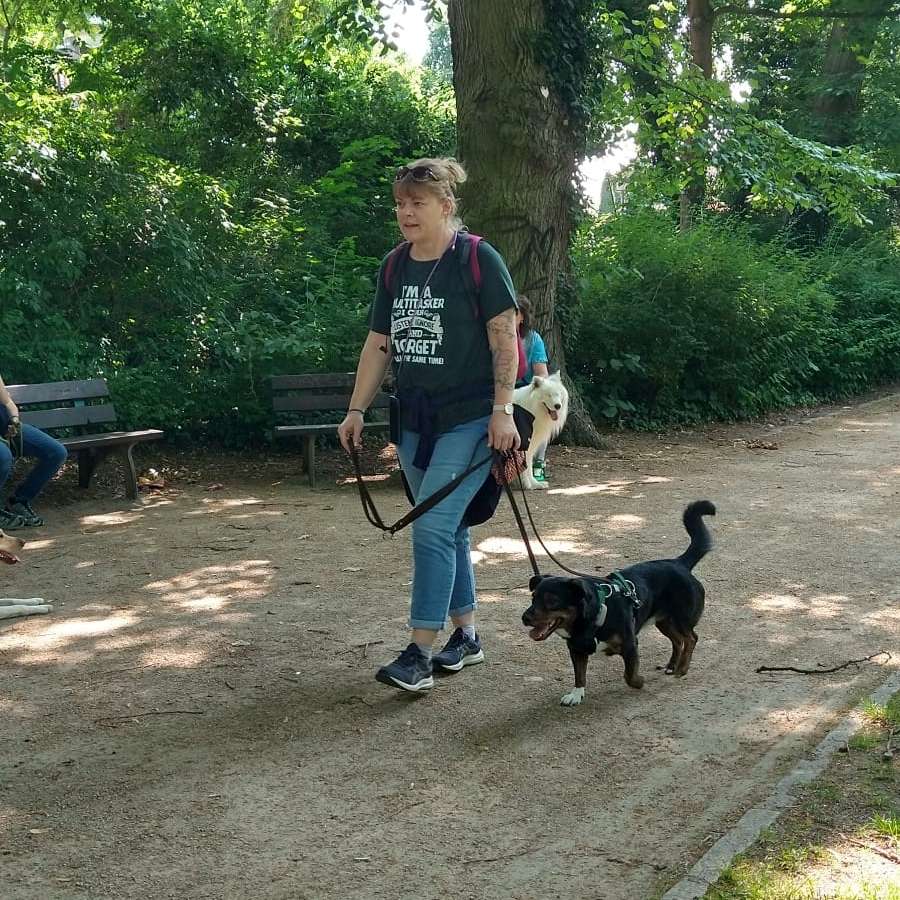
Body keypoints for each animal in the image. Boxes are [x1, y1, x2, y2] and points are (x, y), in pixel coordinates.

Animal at [520, 500, 716, 704]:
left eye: (552, 600)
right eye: (533, 598)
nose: (524, 618)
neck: (592, 618)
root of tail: (679, 563)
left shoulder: (630, 644)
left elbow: (629, 675)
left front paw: (639, 681)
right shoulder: (577, 649)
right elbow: (579, 675)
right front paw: (576, 694)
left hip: (681, 619)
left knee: (691, 638)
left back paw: (682, 668)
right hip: (664, 621)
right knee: (678, 640)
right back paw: (672, 665)